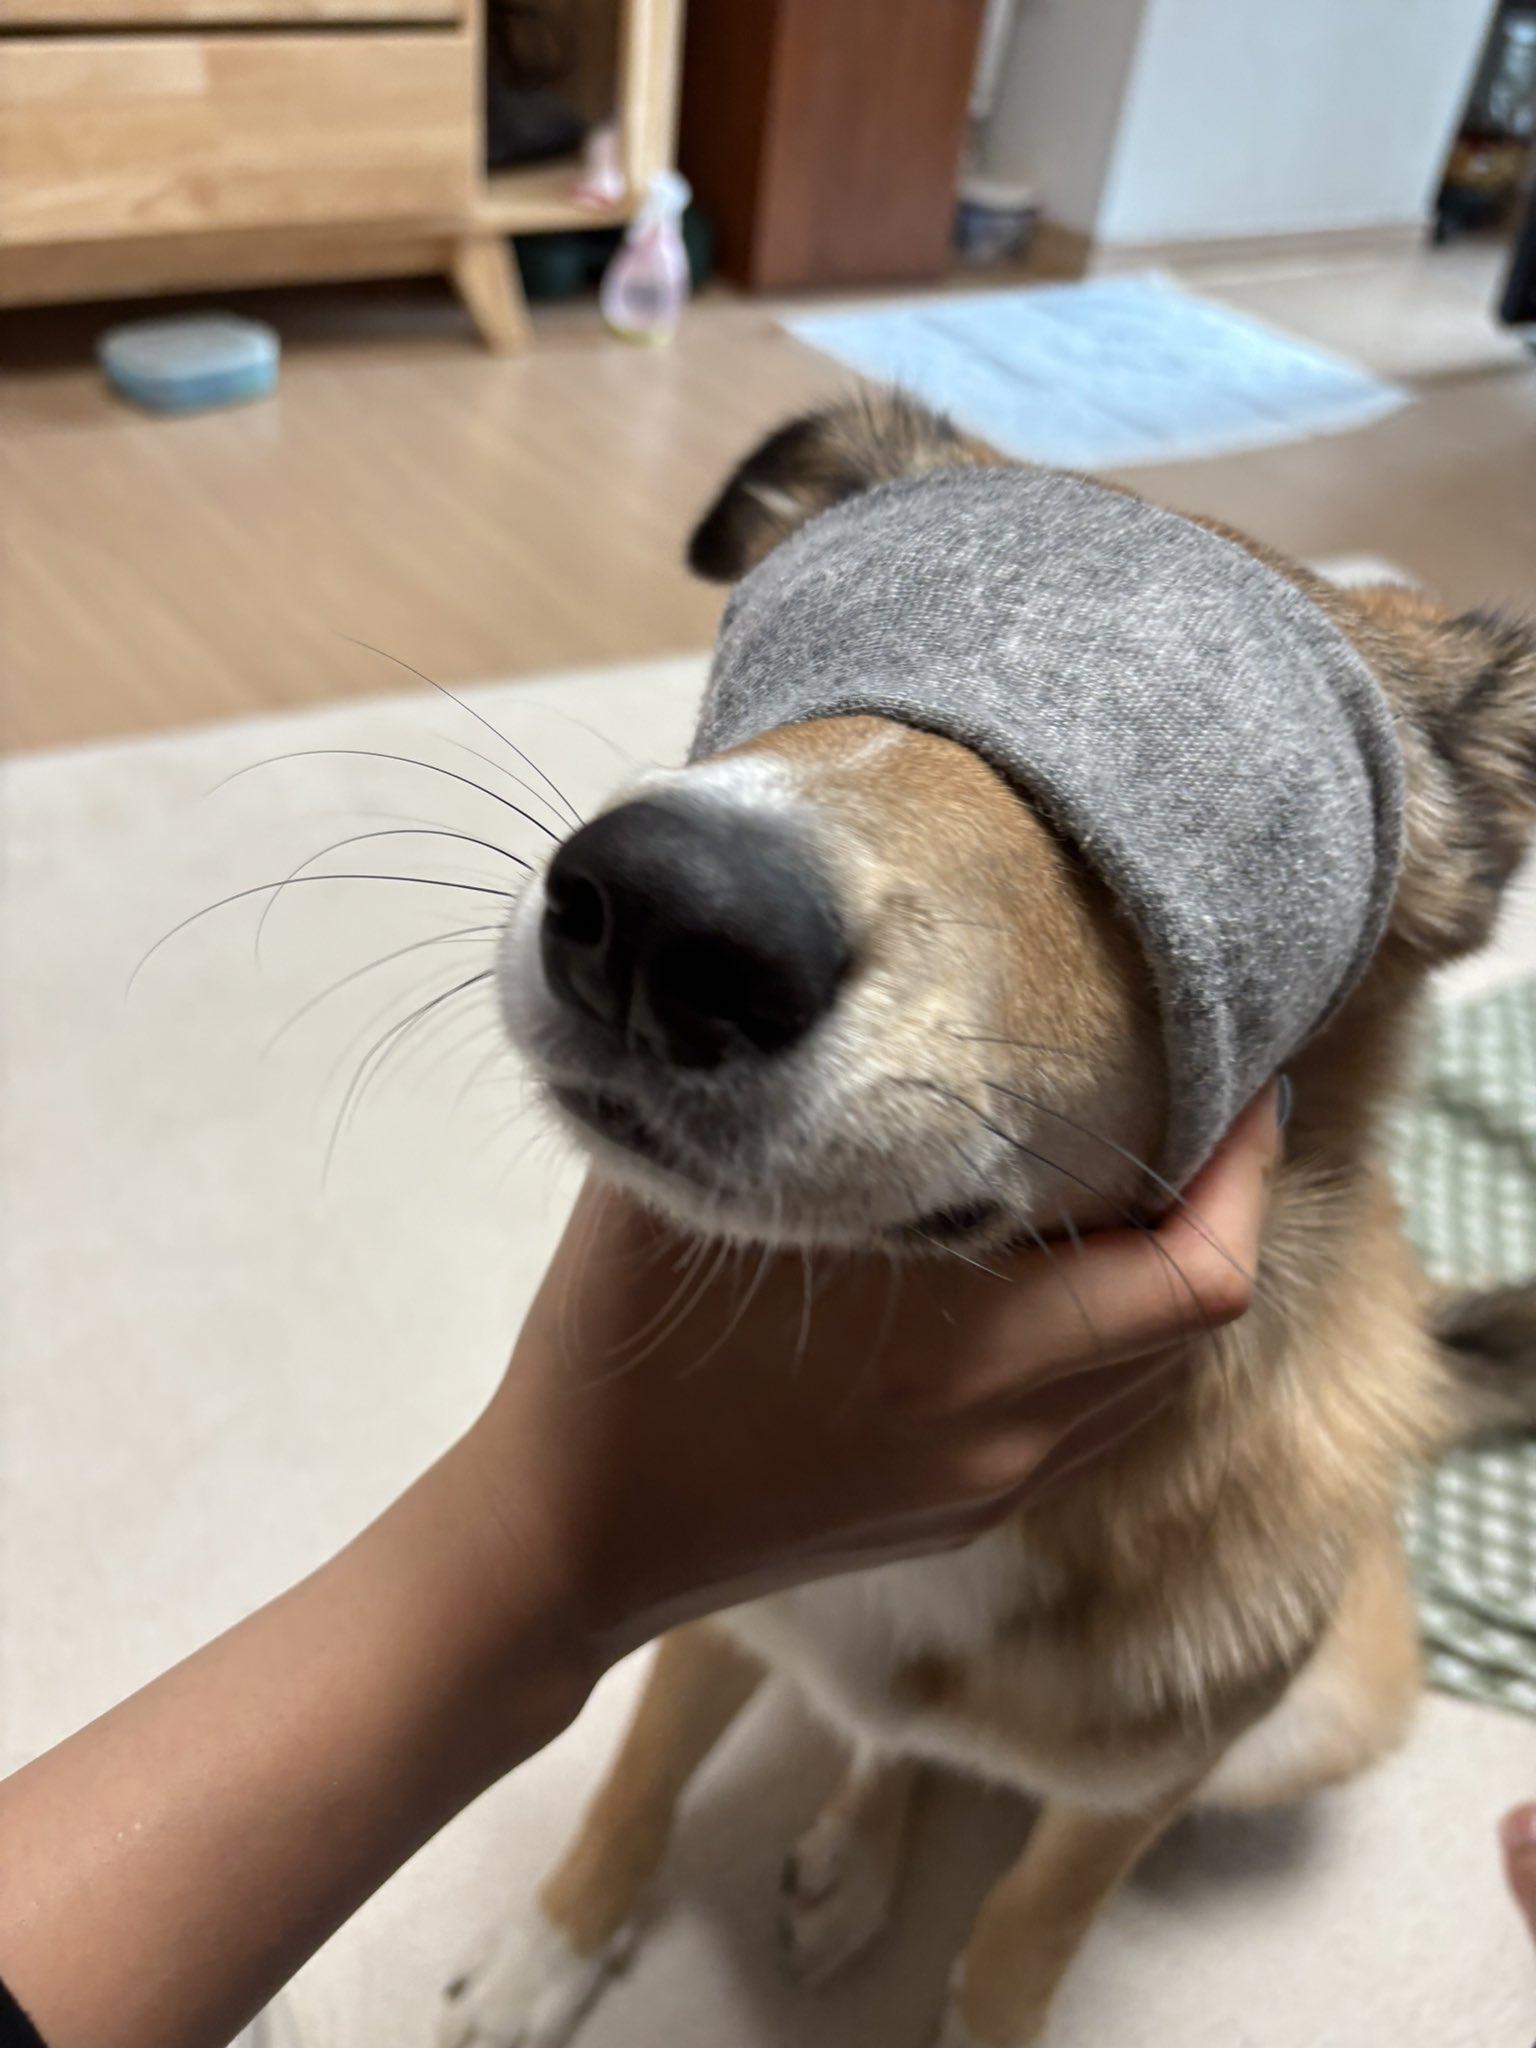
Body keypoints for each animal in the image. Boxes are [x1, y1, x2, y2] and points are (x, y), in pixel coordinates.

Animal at [442, 393, 1536, 2048]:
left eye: (1220, 818)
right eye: (787, 639)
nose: (664, 918)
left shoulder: (1126, 1802)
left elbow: (1024, 1934)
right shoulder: (700, 1616)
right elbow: (638, 1778)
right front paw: (548, 1949)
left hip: (1316, 1720)